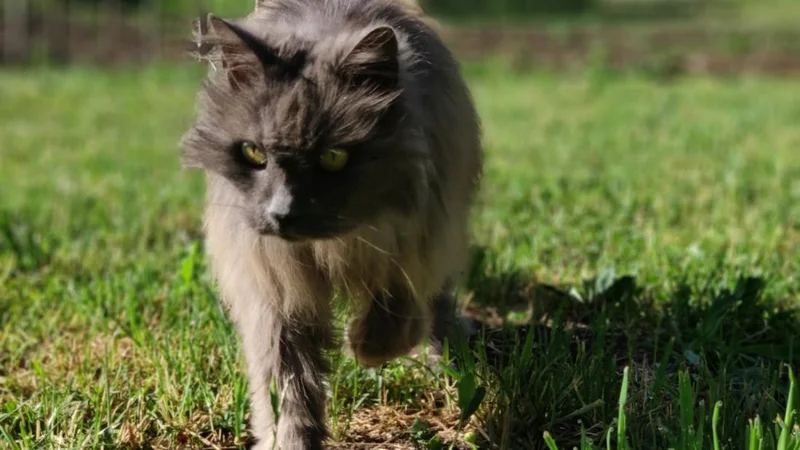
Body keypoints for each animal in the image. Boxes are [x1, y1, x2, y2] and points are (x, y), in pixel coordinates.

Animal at [180, 1, 482, 448]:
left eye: (333, 158)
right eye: (253, 153)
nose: (283, 213)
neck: (334, 244)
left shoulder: (416, 238)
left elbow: (396, 307)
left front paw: (365, 348)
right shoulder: (275, 290)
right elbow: (286, 384)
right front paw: (290, 439)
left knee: (437, 302)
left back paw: (444, 359)